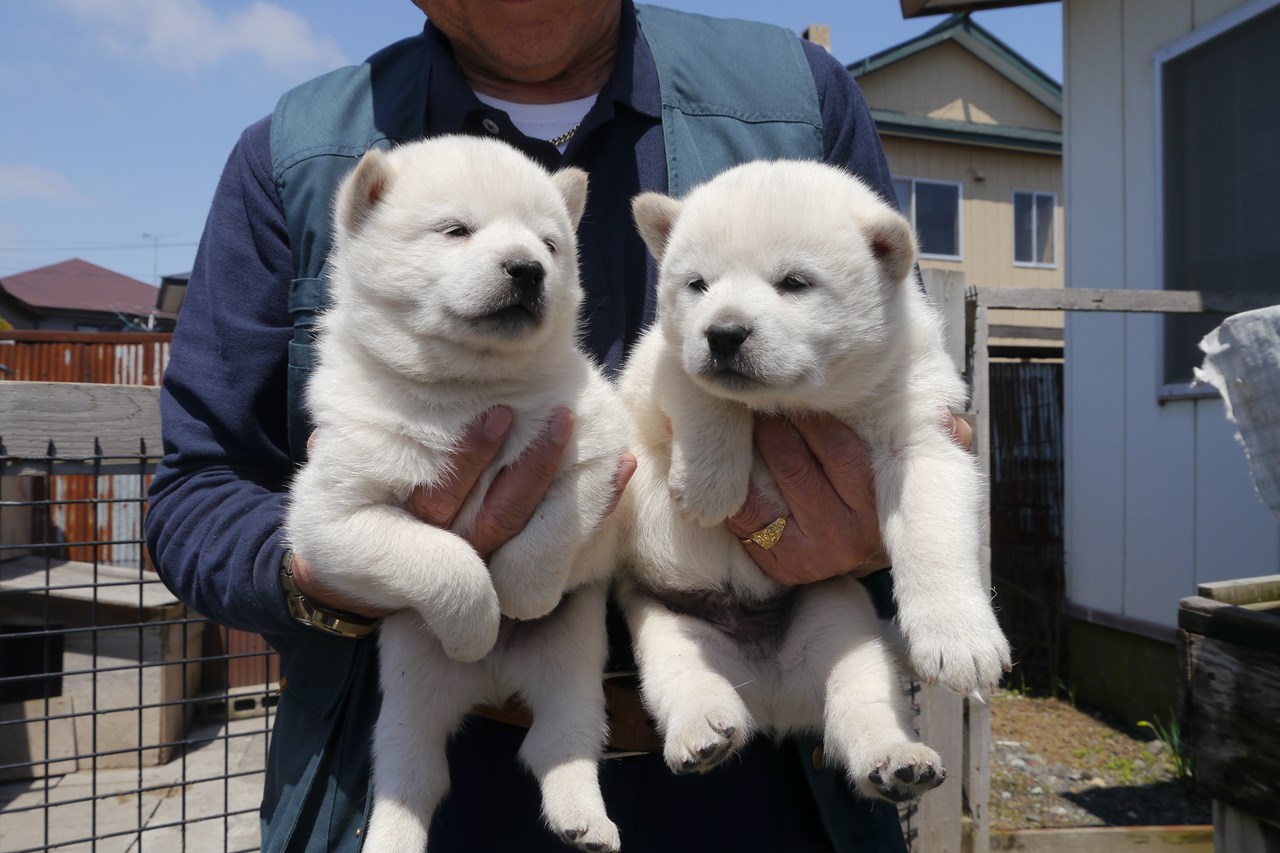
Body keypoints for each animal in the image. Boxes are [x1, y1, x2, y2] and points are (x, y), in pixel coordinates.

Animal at [291, 134, 629, 850]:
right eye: (455, 230)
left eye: (550, 243)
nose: (528, 269)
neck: (468, 392)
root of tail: (495, 686)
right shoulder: (331, 510)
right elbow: (442, 556)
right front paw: (477, 620)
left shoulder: (598, 447)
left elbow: (558, 524)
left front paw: (521, 593)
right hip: (409, 690)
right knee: (411, 770)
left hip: (573, 659)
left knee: (563, 737)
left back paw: (583, 819)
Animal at [616, 159, 1008, 804]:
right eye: (697, 284)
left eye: (795, 281)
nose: (723, 333)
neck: (800, 403)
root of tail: (771, 692)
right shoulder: (649, 368)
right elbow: (692, 382)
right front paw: (710, 484)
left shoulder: (916, 413)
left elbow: (933, 516)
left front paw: (961, 643)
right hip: (667, 616)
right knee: (683, 673)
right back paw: (702, 732)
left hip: (833, 610)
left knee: (860, 691)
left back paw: (897, 761)